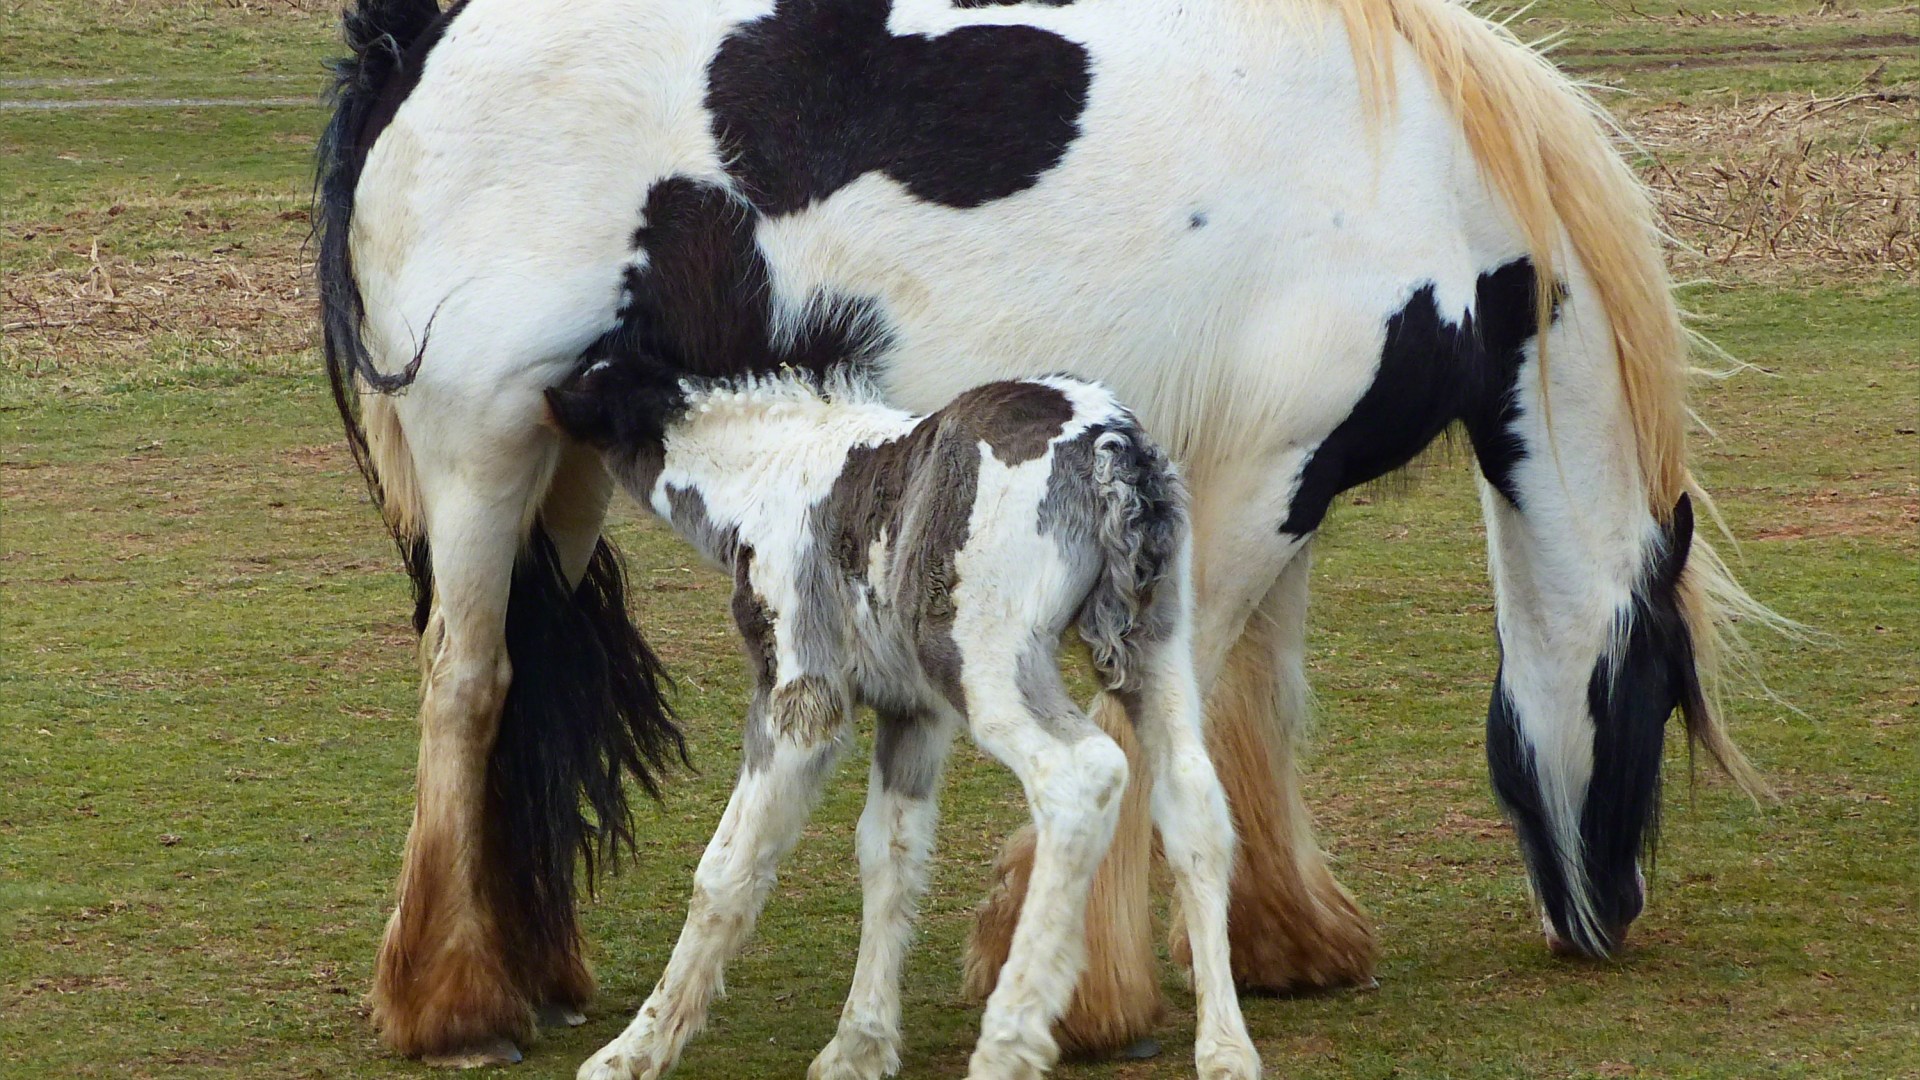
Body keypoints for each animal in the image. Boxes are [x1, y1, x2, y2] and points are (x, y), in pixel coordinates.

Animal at [543, 356, 1256, 1079]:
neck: (764, 477)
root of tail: (1115, 446)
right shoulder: (911, 712)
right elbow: (890, 854)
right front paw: (857, 1048)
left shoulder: (801, 694)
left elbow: (725, 870)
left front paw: (633, 1051)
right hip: (1157, 647)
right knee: (1192, 797)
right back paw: (1225, 1049)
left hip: (984, 661)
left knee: (1081, 775)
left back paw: (1008, 1043)